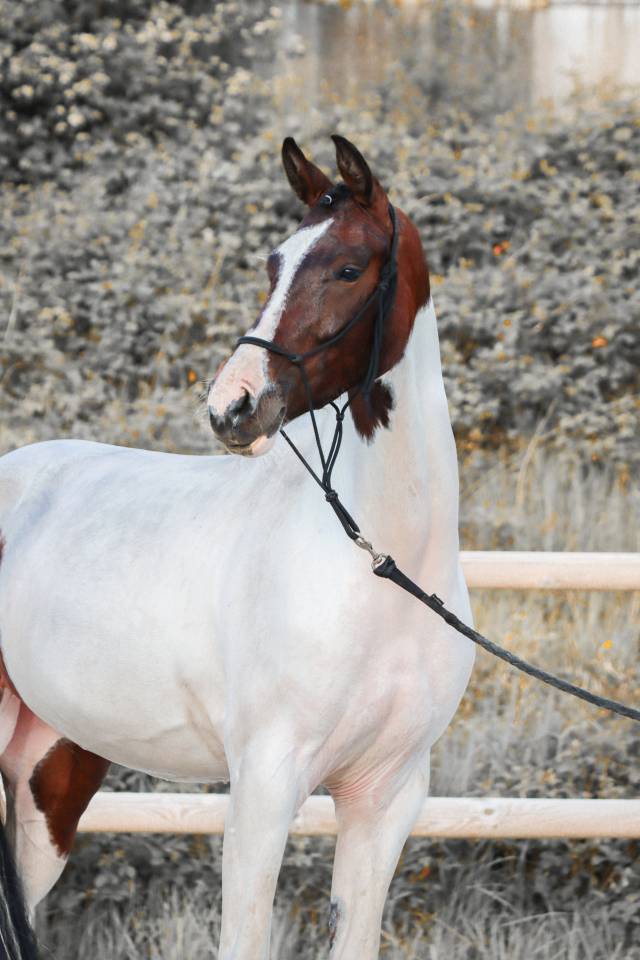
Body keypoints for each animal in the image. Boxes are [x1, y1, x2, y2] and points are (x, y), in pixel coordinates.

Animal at [0, 135, 474, 959]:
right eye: (272, 264)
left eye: (349, 267)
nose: (233, 406)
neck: (383, 568)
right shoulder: (264, 785)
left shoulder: (385, 798)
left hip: (51, 774)